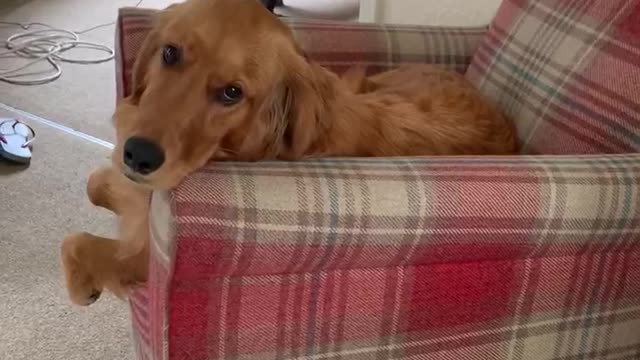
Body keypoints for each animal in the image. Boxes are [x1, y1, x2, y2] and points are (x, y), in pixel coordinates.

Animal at [61, 0, 516, 306]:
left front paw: (84, 285)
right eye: (170, 53)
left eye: (232, 93)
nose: (138, 155)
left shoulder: (145, 259)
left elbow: (76, 241)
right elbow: (94, 182)